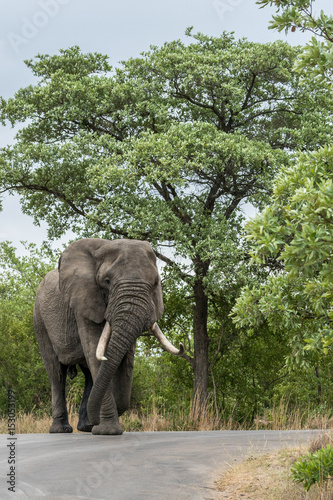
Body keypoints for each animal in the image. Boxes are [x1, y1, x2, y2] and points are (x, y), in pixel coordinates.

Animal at [34, 237, 182, 434]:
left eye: (155, 283)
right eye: (107, 281)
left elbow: (124, 362)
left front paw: (101, 424)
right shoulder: (84, 301)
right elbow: (95, 352)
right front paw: (108, 431)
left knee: (88, 375)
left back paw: (87, 427)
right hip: (39, 320)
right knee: (56, 372)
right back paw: (61, 430)